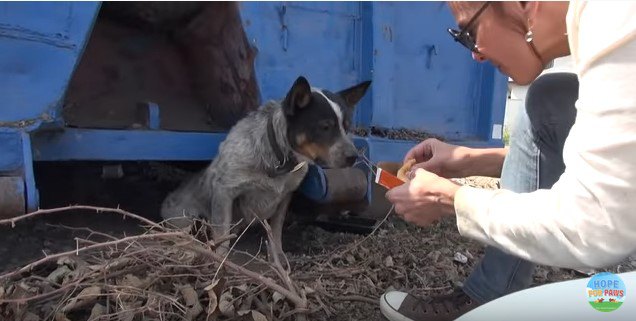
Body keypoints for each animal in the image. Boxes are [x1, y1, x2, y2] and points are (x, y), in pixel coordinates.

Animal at [160, 76, 372, 258]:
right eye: (325, 127)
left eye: (347, 127)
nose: (353, 156)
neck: (279, 160)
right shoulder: (224, 191)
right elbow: (222, 234)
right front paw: (220, 261)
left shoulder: (286, 196)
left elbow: (276, 230)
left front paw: (277, 256)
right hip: (188, 218)